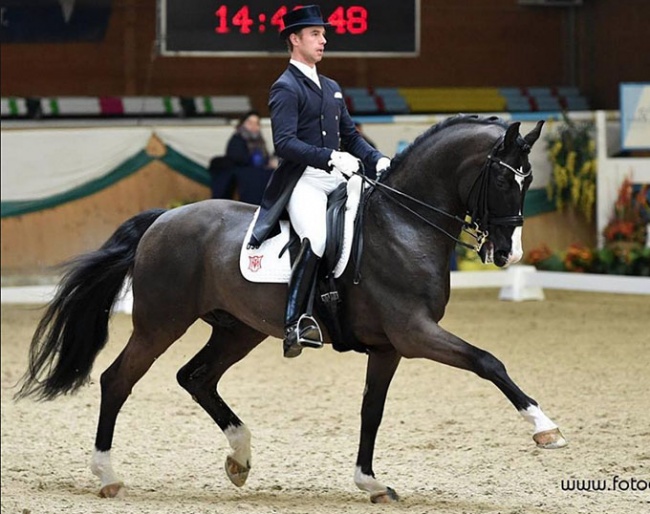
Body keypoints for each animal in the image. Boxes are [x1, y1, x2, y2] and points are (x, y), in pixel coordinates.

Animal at [13, 114, 560, 502]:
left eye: (529, 180)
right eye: (504, 182)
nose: (508, 254)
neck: (404, 223)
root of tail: (163, 219)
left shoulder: (389, 347)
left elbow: (372, 410)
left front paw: (369, 482)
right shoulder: (413, 332)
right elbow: (488, 361)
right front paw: (545, 428)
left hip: (238, 329)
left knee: (196, 377)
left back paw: (239, 457)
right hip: (160, 323)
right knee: (117, 380)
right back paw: (106, 474)